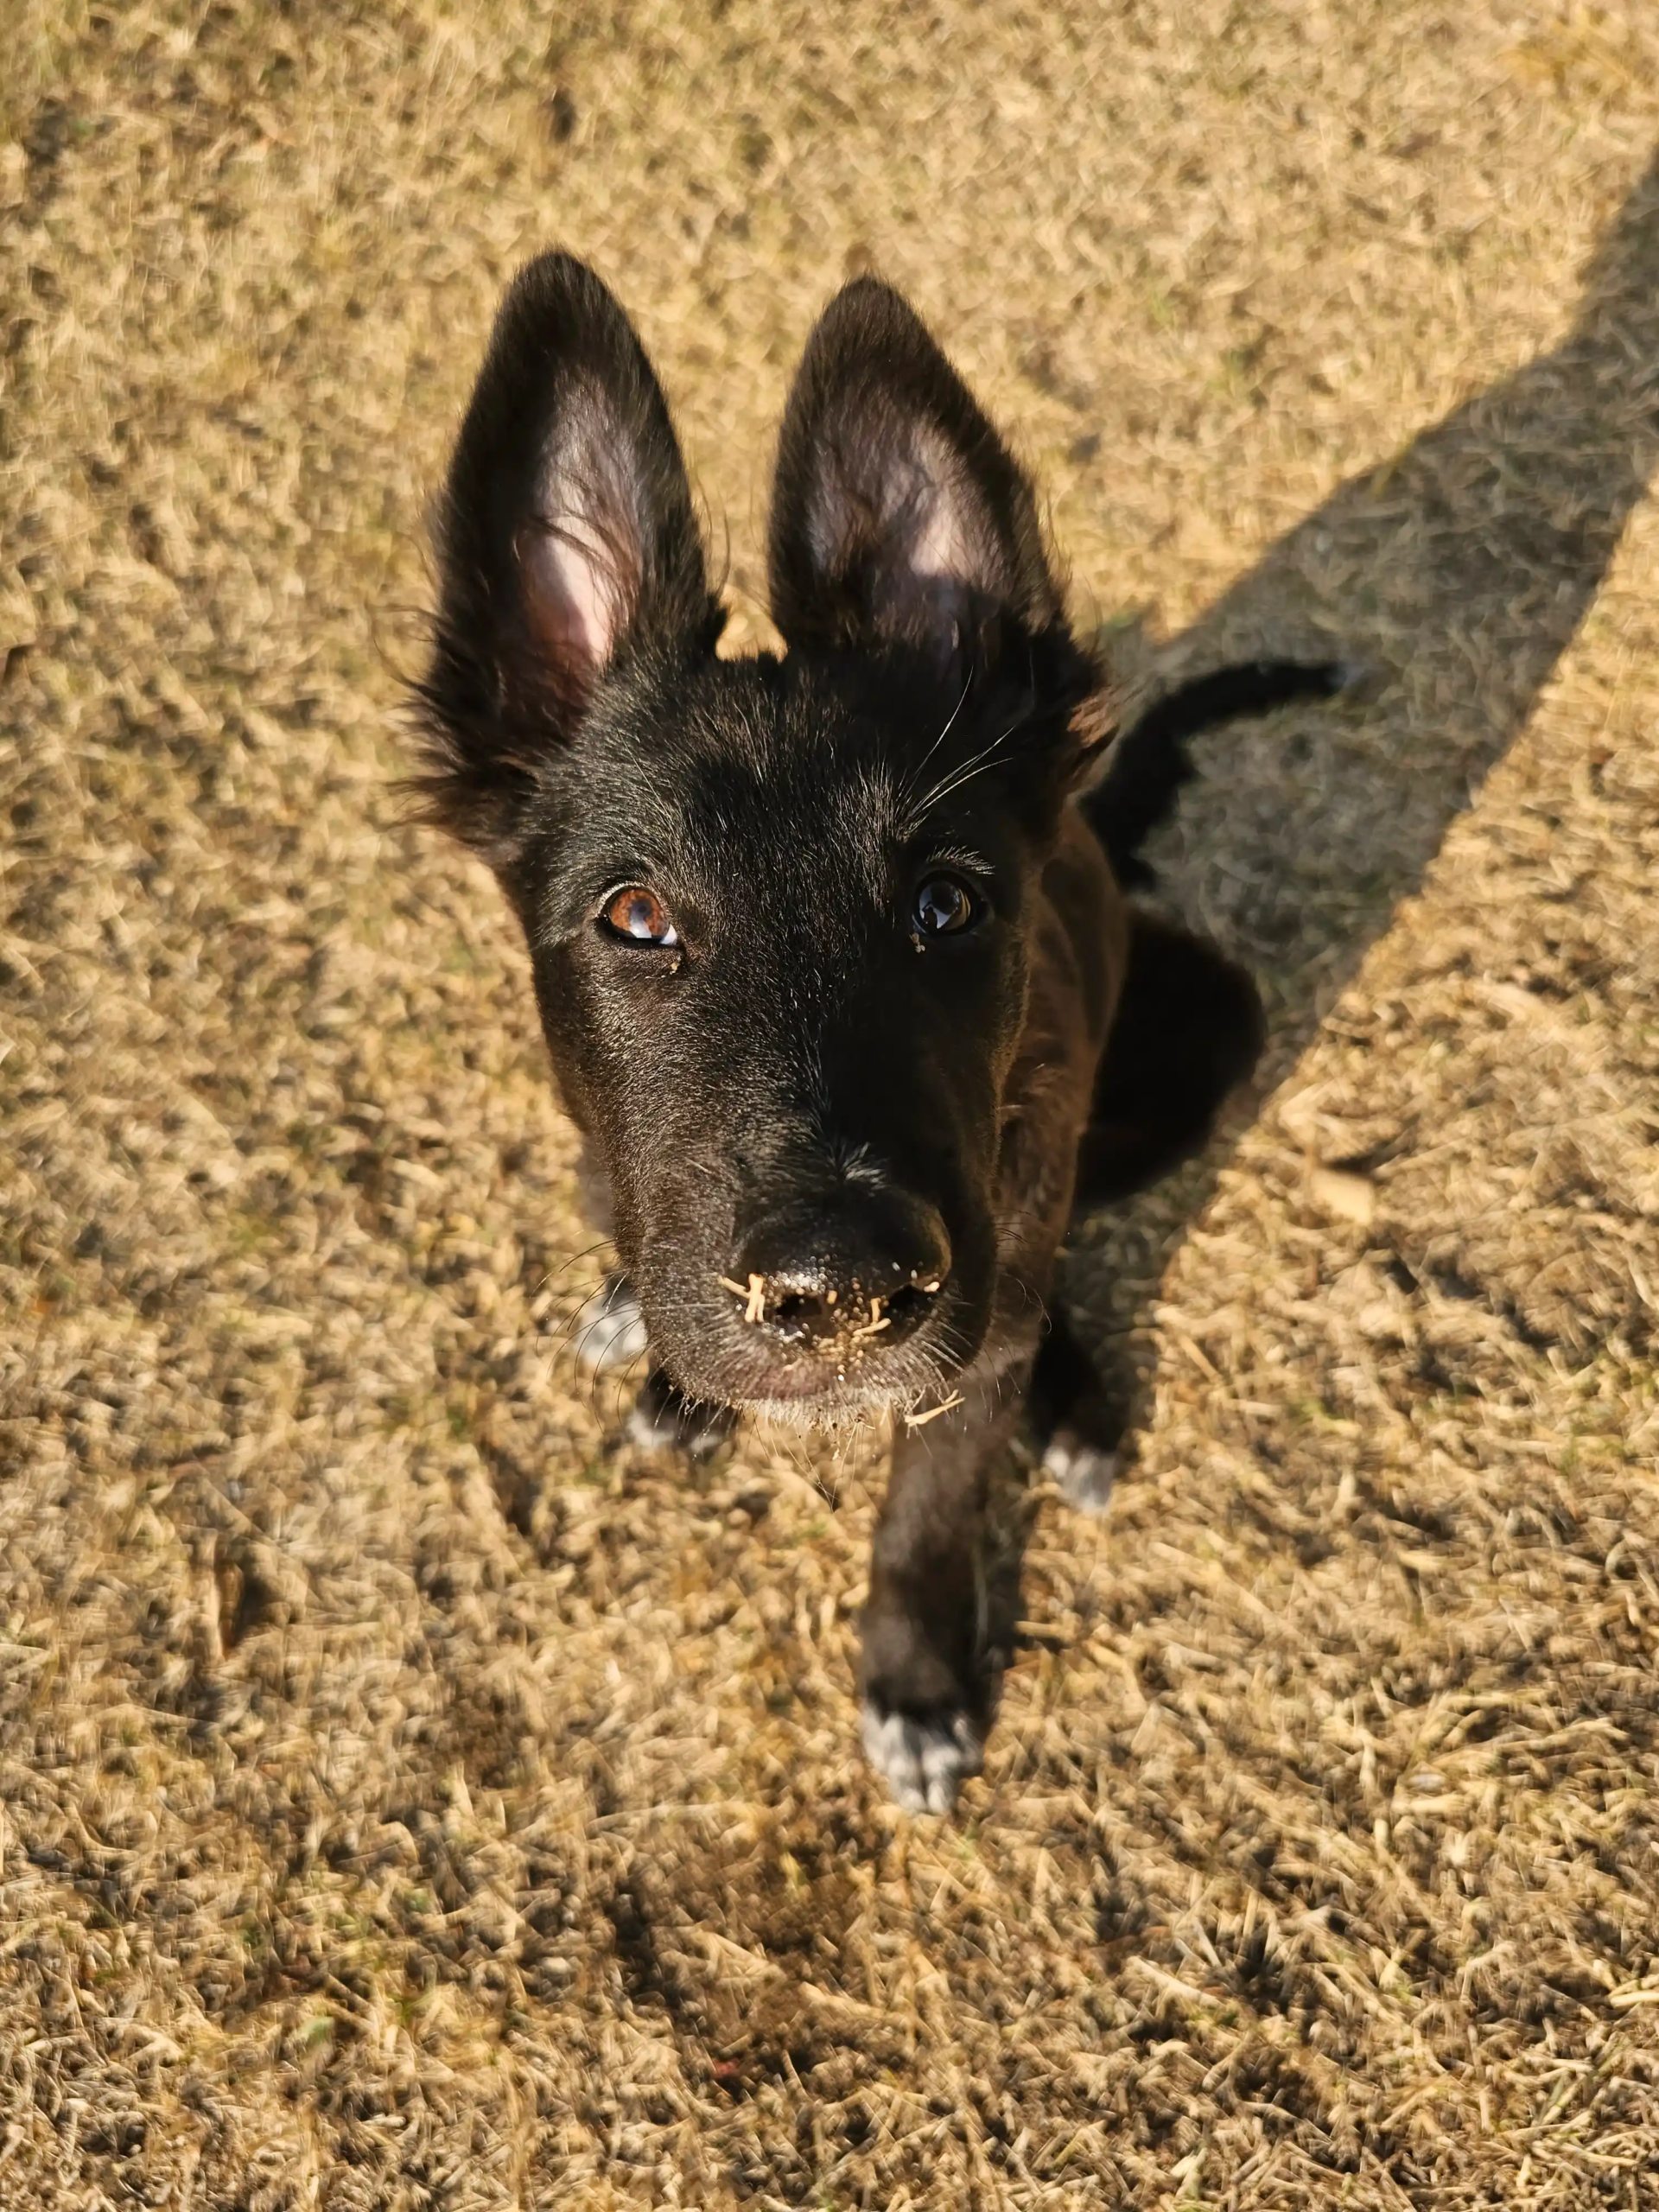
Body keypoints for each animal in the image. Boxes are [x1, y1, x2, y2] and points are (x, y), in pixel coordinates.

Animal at [416, 258, 1353, 1814]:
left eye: (946, 904)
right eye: (635, 915)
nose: (842, 1290)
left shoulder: (968, 1339)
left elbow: (928, 1511)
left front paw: (915, 1684)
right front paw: (672, 1373)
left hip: (1206, 1036)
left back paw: (1073, 1404)